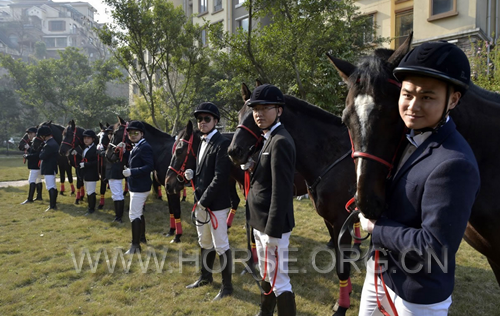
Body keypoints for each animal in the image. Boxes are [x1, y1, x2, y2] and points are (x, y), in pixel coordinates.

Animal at [229, 82, 362, 314]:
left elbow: (342, 266)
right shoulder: (330, 220)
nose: (234, 151)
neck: (332, 157)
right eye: (240, 113)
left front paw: (342, 306)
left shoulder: (340, 221)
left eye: (253, 116)